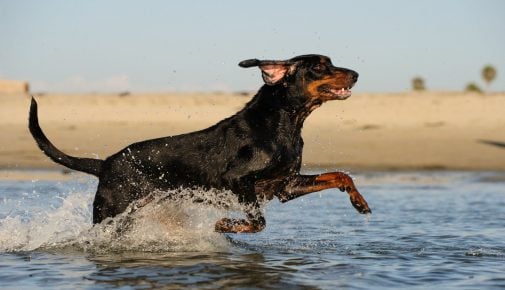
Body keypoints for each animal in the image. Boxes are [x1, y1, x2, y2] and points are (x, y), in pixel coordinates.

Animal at [28, 54, 370, 233]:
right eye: (319, 66)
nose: (355, 73)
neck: (284, 123)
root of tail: (106, 163)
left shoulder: (285, 185)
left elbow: (340, 175)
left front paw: (359, 202)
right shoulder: (238, 180)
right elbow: (258, 221)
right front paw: (226, 225)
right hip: (111, 213)